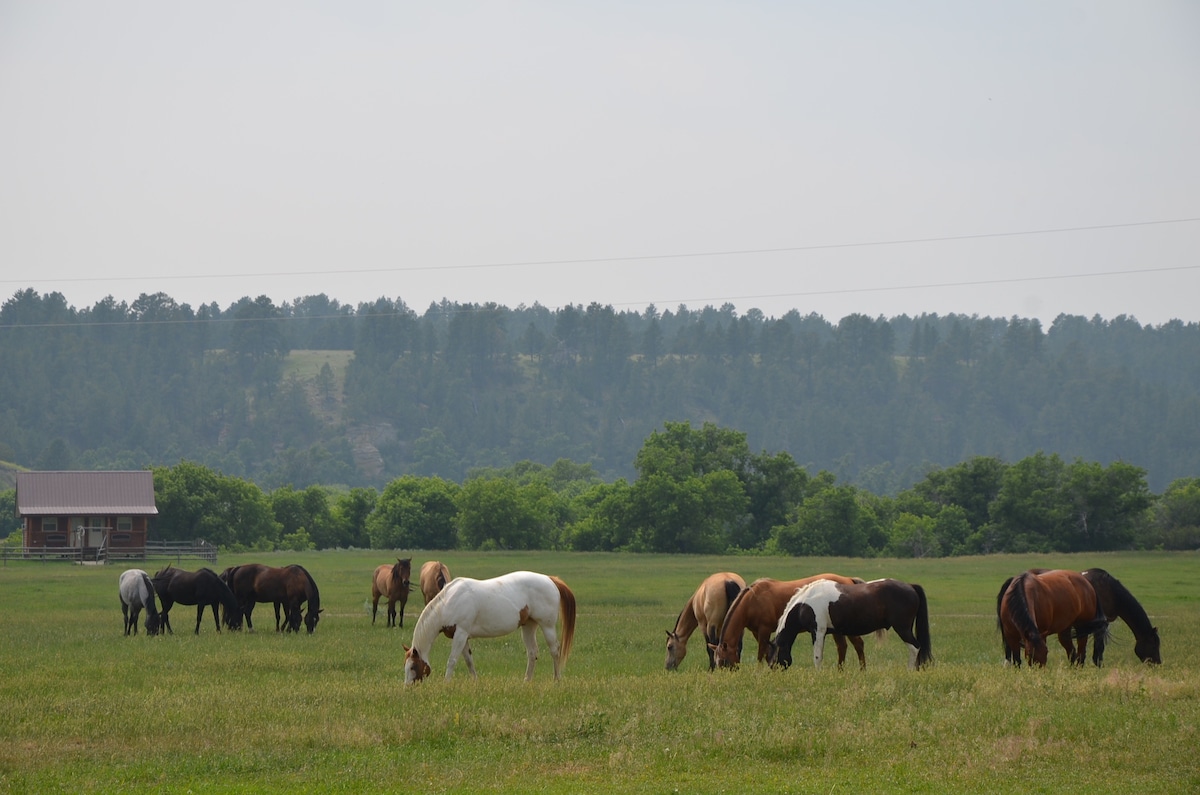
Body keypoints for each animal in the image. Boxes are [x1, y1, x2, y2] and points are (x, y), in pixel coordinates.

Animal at [403, 574, 576, 686]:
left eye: (413, 666)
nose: (408, 687)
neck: (448, 602)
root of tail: (550, 579)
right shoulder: (462, 637)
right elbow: (469, 661)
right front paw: (475, 682)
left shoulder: (461, 633)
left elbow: (452, 660)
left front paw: (446, 683)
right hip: (529, 626)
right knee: (532, 652)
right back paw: (526, 681)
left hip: (547, 626)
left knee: (555, 651)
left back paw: (557, 680)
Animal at [705, 576, 868, 667]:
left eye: (725, 662)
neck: (753, 600)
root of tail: (848, 580)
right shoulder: (757, 632)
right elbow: (767, 653)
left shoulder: (764, 630)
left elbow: (761, 654)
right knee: (843, 647)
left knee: (857, 645)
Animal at [772, 578, 931, 672]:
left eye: (772, 657)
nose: (775, 671)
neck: (805, 604)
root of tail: (910, 586)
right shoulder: (833, 632)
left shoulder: (818, 631)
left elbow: (817, 656)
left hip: (903, 629)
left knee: (915, 647)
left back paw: (909, 671)